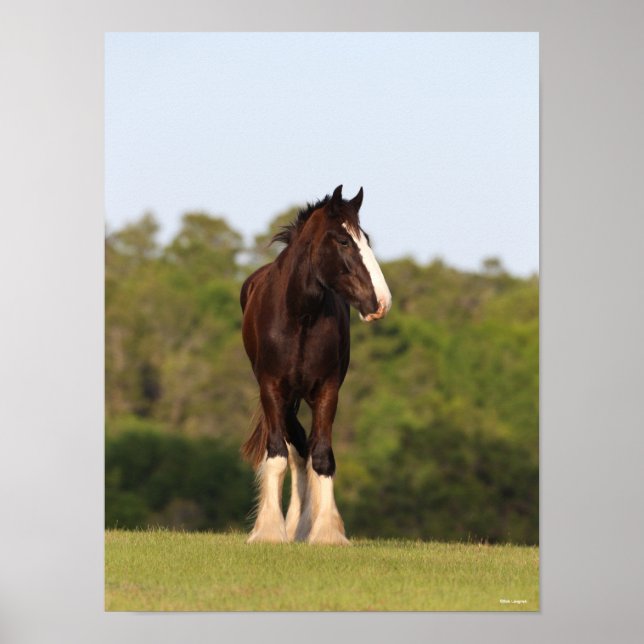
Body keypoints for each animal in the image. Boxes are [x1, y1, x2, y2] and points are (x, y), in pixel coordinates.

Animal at [239, 185, 392, 544]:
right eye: (344, 240)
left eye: (365, 238)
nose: (381, 302)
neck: (300, 316)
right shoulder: (272, 389)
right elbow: (278, 454)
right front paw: (269, 531)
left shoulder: (327, 391)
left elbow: (321, 456)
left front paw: (325, 532)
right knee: (294, 448)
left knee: (305, 450)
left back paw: (302, 523)